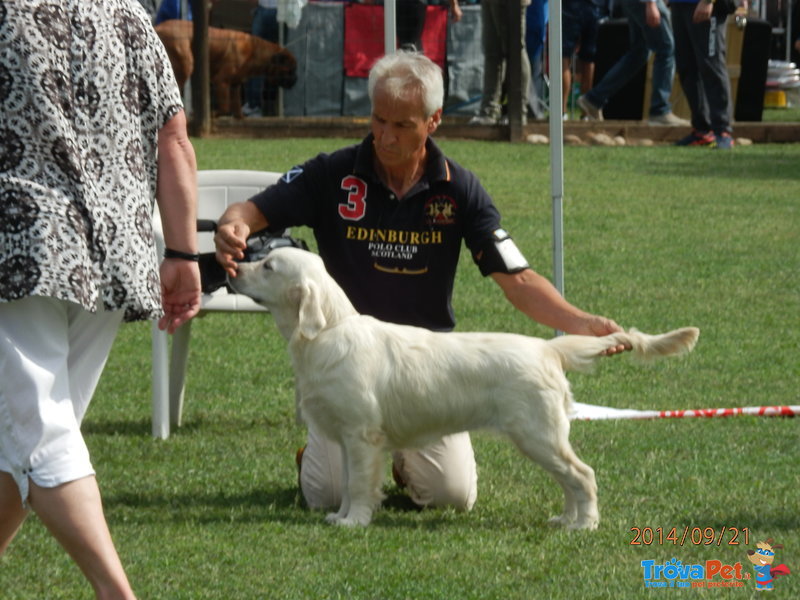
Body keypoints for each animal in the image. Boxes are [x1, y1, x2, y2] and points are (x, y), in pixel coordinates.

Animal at [154, 19, 296, 118]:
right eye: (290, 70)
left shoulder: (235, 85)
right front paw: (214, 114)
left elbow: (238, 112)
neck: (255, 51)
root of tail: (158, 27)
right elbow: (224, 108)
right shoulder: (222, 81)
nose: (296, 79)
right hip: (184, 67)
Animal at [228, 248, 696, 528]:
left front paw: (355, 521)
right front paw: (340, 516)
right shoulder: (346, 438)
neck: (326, 333)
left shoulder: (361, 436)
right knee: (570, 481)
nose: (232, 268)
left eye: (268, 266)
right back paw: (565, 520)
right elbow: (346, 484)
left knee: (583, 475)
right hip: (542, 439)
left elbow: (359, 485)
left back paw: (585, 524)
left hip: (538, 435)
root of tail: (547, 348)